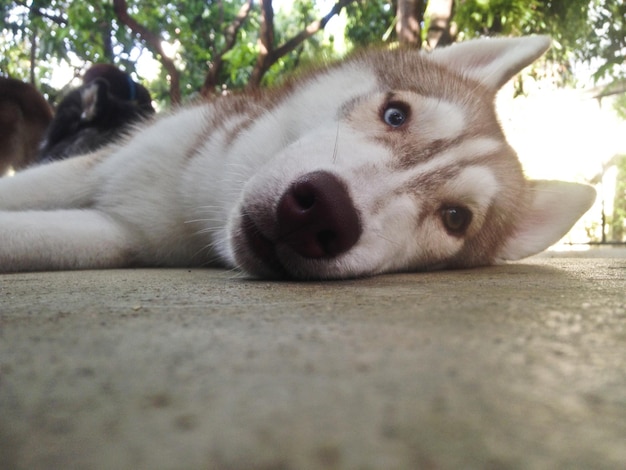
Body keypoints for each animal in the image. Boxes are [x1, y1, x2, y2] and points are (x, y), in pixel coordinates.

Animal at [0, 37, 596, 280]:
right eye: (396, 114)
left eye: (455, 218)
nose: (322, 213)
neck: (199, 195)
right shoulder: (96, 169)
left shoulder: (122, 234)